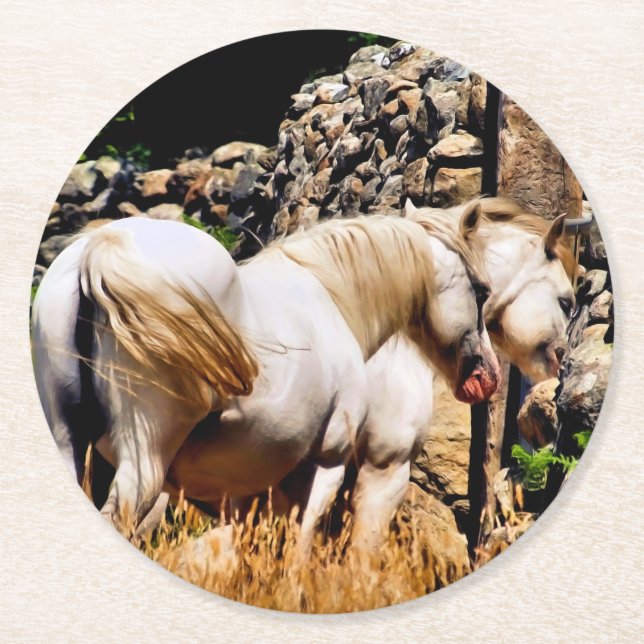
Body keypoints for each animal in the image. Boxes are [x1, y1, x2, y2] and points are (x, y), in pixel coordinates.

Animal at [31, 208, 500, 545]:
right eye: (482, 291)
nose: (488, 376)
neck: (333, 300)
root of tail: (100, 248)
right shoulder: (339, 467)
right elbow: (304, 553)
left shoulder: (248, 491)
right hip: (145, 462)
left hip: (70, 443)